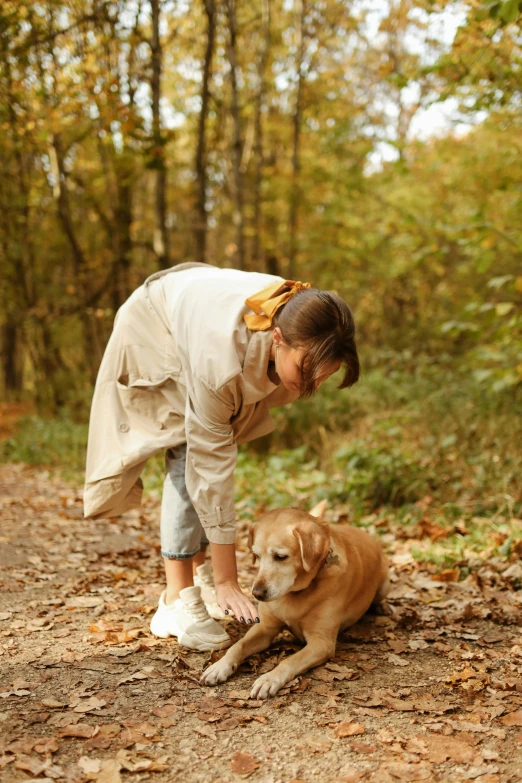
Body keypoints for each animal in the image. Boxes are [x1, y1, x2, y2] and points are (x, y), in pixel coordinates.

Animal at [201, 502, 388, 700]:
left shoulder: (321, 643)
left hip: (385, 584)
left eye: (280, 557)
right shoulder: (265, 627)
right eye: (257, 556)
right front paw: (219, 666)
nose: (257, 594)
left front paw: (269, 679)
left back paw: (383, 607)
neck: (295, 594)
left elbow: (290, 660)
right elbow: (238, 645)